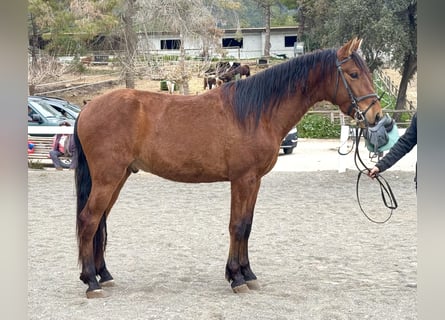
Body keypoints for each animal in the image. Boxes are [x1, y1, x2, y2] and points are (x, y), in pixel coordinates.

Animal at [74, 38, 384, 298]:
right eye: (353, 74)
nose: (376, 116)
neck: (256, 112)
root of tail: (87, 108)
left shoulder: (255, 181)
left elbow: (247, 225)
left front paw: (247, 274)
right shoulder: (242, 179)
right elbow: (237, 226)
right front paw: (236, 278)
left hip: (119, 177)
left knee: (100, 221)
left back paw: (103, 275)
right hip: (108, 178)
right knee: (89, 220)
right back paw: (91, 282)